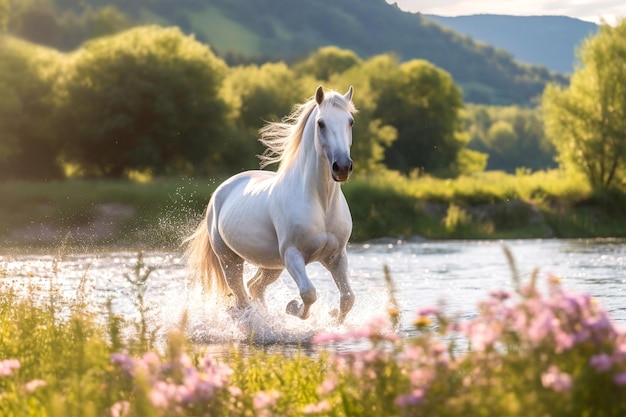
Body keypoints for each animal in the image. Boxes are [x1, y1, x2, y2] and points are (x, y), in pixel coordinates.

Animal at [184, 85, 356, 322]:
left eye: (350, 122)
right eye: (321, 123)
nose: (342, 167)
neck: (322, 204)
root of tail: (220, 192)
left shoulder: (336, 256)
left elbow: (348, 299)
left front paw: (333, 318)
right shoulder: (293, 255)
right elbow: (308, 293)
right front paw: (292, 308)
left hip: (271, 265)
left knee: (254, 287)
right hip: (230, 260)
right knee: (241, 296)